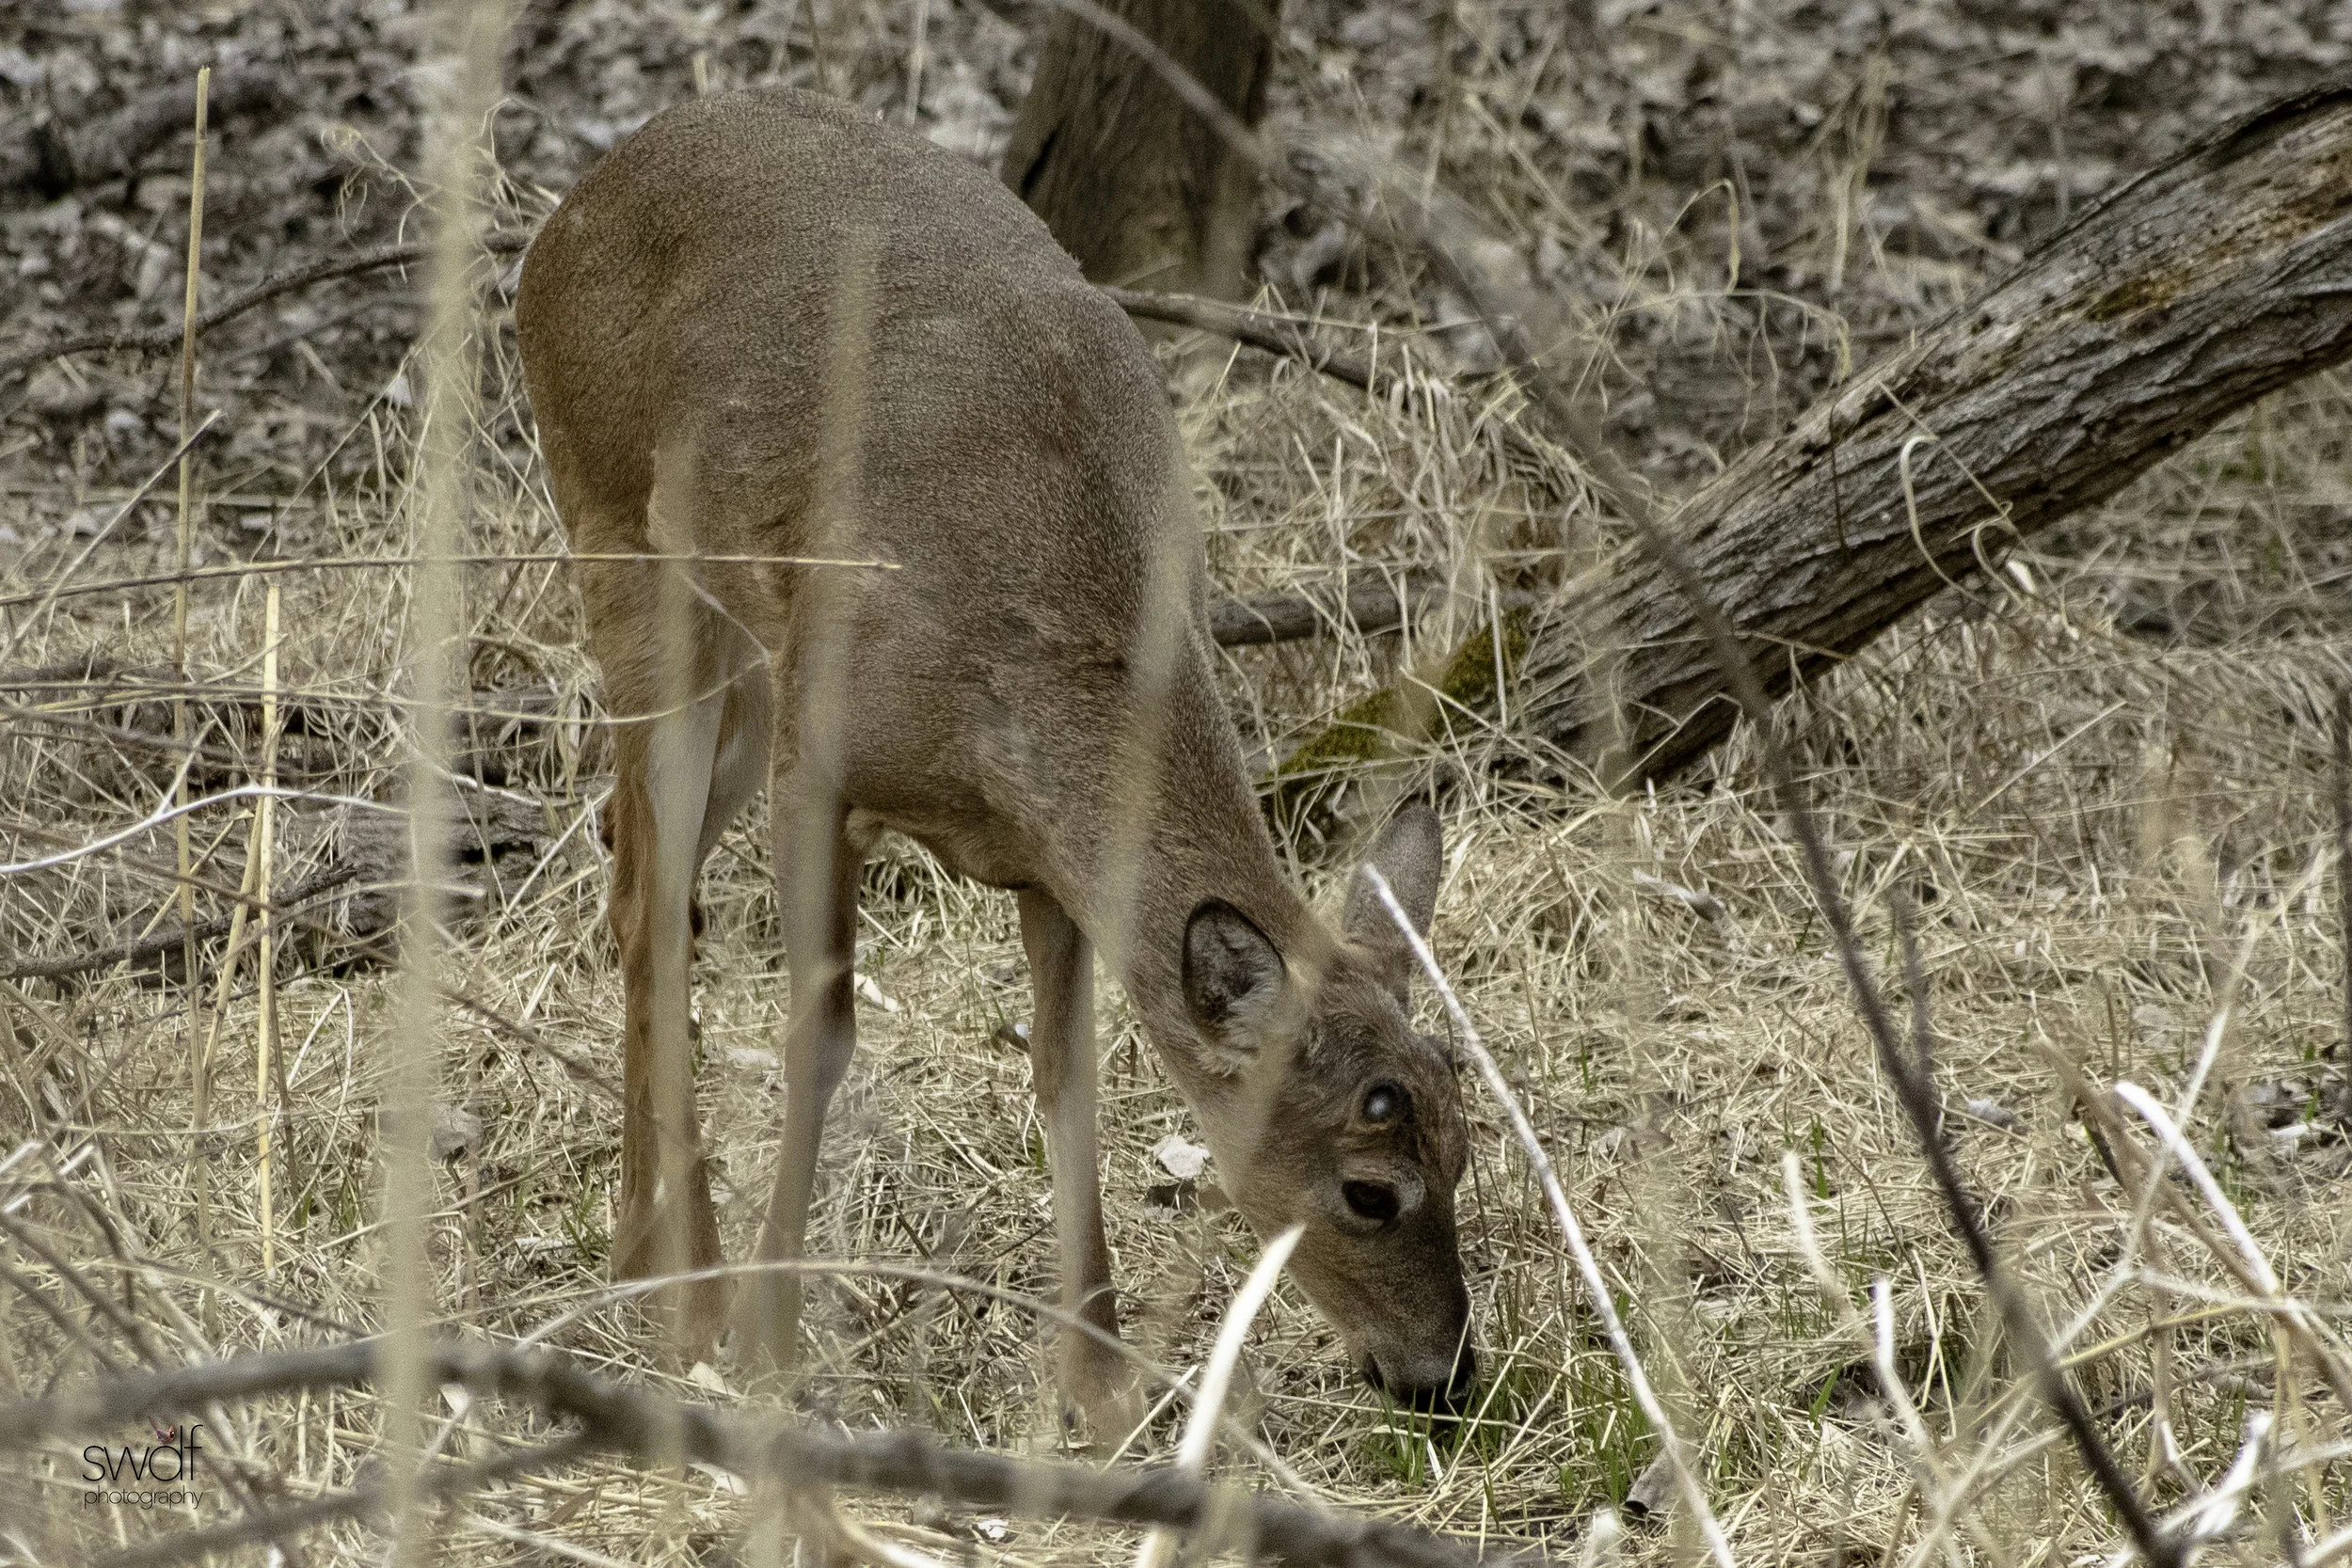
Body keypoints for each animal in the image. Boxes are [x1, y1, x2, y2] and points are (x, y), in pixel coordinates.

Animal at [514, 85, 1476, 1422]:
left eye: (1465, 1144)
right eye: (1369, 1187)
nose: (1446, 1374)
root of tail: (565, 212)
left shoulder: (1046, 858)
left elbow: (1066, 1076)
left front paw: (1100, 1379)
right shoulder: (821, 765)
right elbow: (822, 1035)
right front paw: (770, 1338)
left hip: (748, 651)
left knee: (629, 868)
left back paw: (634, 1256)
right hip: (620, 540)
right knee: (654, 911)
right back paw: (691, 1299)